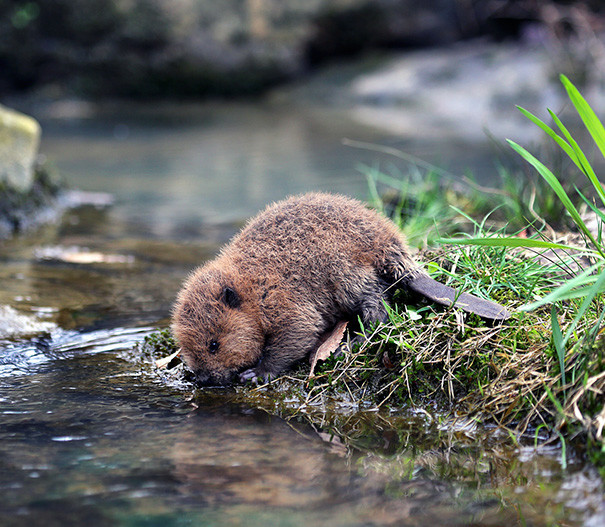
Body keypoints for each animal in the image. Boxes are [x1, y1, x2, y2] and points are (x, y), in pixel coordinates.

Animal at [171, 192, 510, 386]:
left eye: (214, 344)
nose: (203, 380)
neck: (251, 284)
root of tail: (397, 252)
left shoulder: (282, 299)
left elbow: (299, 332)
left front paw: (256, 373)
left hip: (345, 273)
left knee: (378, 310)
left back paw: (350, 343)